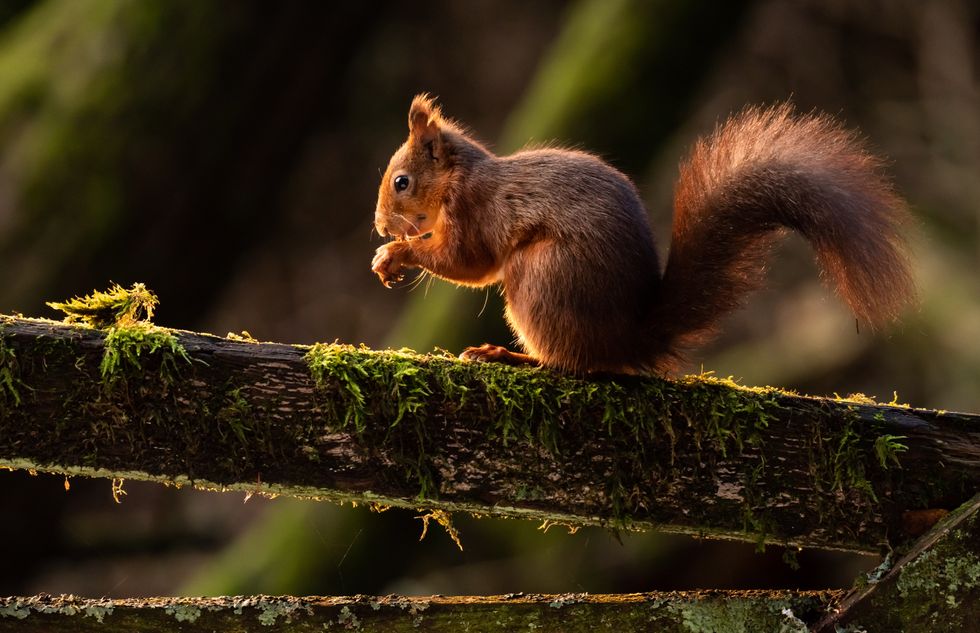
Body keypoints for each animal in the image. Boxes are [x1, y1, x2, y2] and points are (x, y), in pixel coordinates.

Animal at [372, 92, 916, 370]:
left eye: (402, 182)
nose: (378, 224)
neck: (456, 179)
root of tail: (628, 339)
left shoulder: (474, 212)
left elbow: (468, 263)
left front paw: (397, 253)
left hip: (542, 276)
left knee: (571, 365)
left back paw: (507, 355)